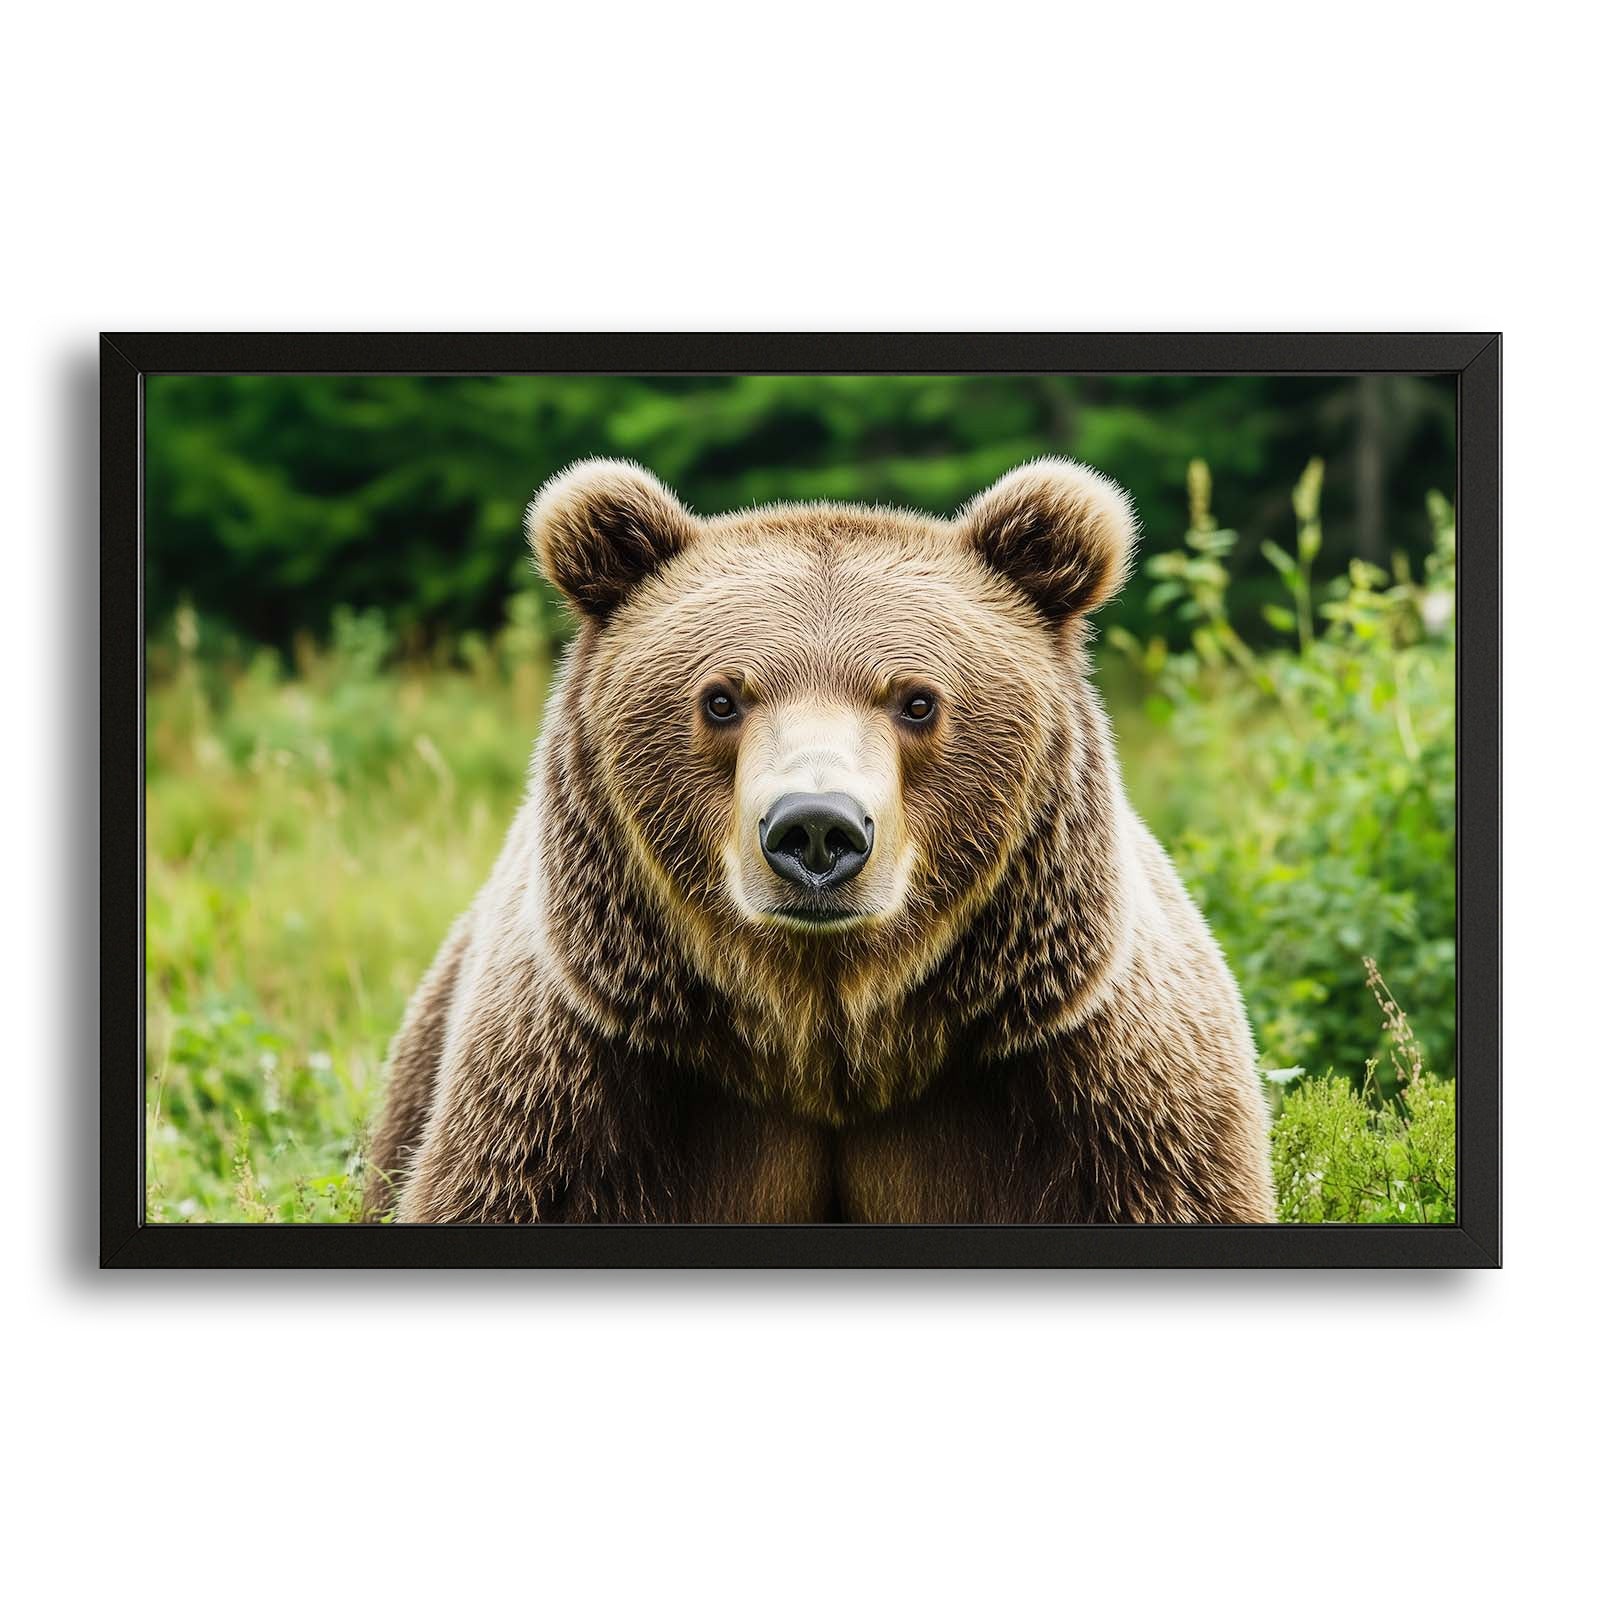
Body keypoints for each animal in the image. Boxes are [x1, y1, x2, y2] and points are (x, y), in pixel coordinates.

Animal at [364, 457, 1275, 1224]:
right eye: (721, 698)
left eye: (917, 700)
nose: (815, 827)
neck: (825, 1039)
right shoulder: (581, 1084)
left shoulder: (1089, 1088)